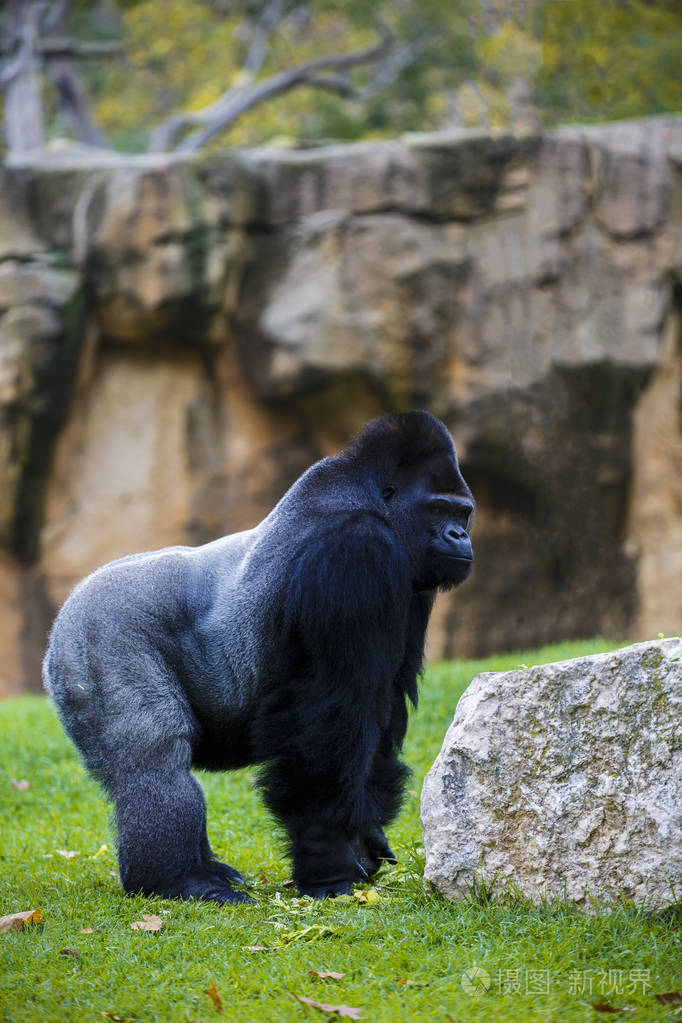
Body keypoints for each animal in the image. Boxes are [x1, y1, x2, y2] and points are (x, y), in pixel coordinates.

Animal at [41, 409, 470, 904]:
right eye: (437, 509)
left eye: (463, 512)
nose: (460, 535)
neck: (365, 496)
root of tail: (63, 615)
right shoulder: (355, 550)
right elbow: (329, 718)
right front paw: (329, 861)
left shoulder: (410, 581)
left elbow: (381, 708)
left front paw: (365, 834)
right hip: (96, 633)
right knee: (153, 763)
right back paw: (173, 880)